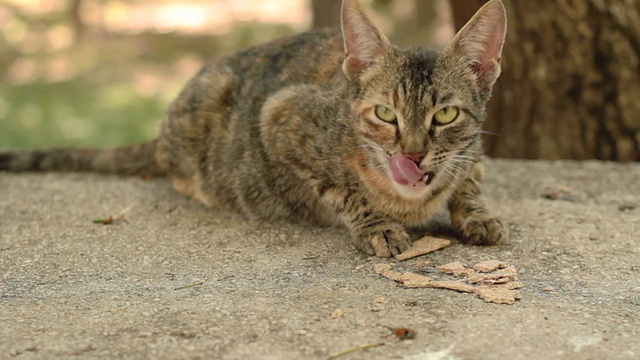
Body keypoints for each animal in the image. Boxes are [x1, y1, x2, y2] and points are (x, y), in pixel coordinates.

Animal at [1, 0, 510, 258]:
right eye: (386, 115)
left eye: (445, 116)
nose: (413, 154)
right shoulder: (280, 115)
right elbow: (342, 190)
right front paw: (376, 223)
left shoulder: (475, 151)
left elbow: (469, 177)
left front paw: (476, 213)